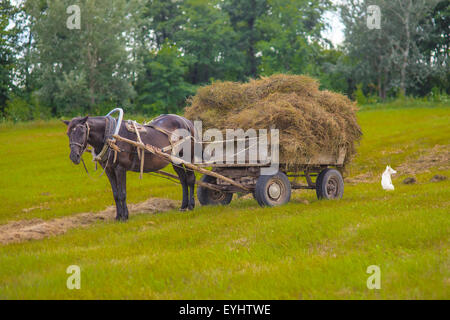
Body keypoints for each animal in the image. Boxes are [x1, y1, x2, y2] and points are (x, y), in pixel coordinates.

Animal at [63, 113, 197, 220]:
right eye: (68, 133)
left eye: (81, 131)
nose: (74, 156)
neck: (110, 137)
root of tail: (186, 121)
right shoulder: (109, 170)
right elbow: (116, 194)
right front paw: (118, 216)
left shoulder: (120, 169)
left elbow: (122, 193)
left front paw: (125, 216)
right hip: (176, 161)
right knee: (183, 180)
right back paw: (183, 206)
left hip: (187, 158)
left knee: (190, 179)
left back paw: (191, 206)